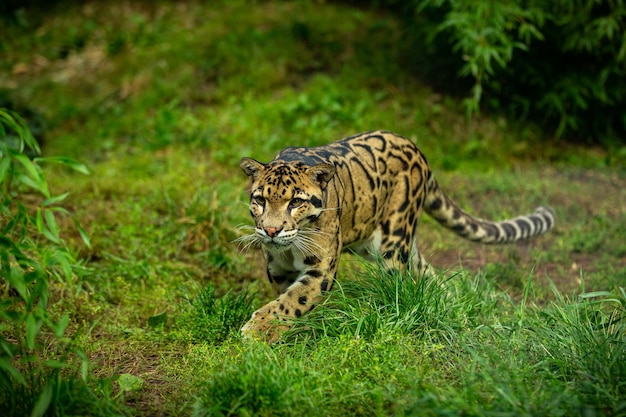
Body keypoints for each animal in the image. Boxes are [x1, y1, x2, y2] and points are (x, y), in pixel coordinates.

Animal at [236, 130, 552, 342]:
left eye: (295, 202)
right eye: (260, 200)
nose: (271, 230)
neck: (290, 249)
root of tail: (416, 149)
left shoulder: (321, 269)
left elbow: (291, 301)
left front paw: (256, 330)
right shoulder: (277, 269)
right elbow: (286, 299)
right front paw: (281, 332)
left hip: (392, 241)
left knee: (399, 284)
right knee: (427, 275)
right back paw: (454, 309)